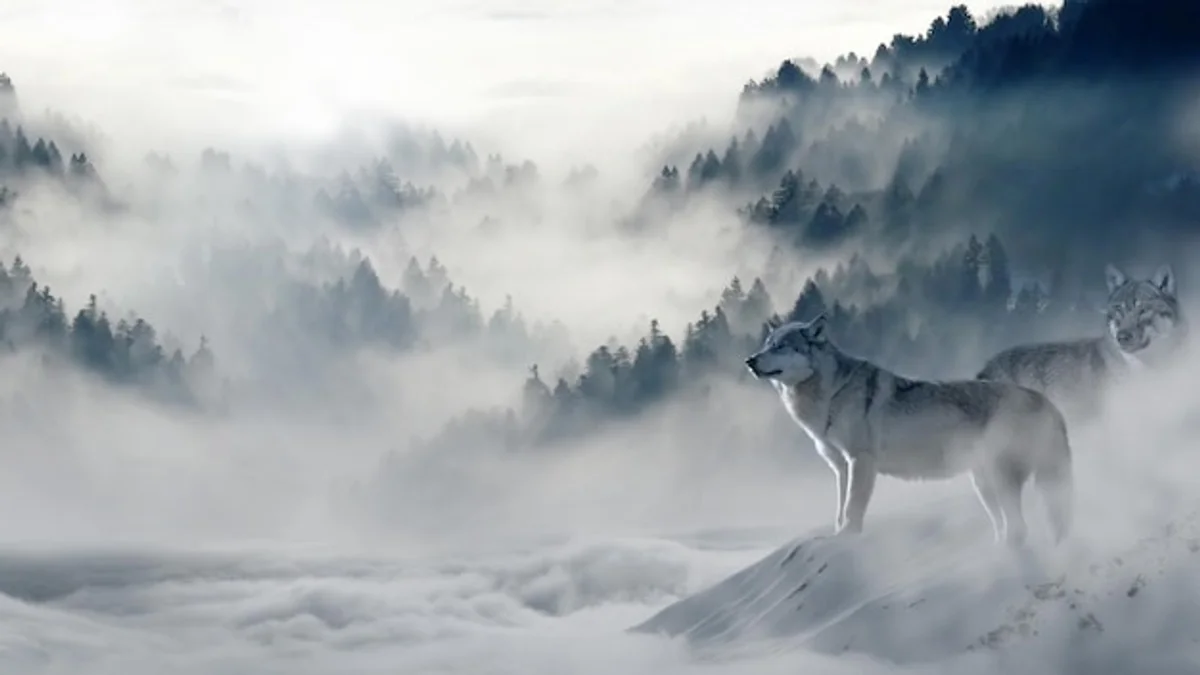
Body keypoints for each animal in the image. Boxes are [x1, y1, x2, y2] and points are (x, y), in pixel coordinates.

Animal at [745, 314, 1073, 546]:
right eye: (766, 344)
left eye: (781, 346)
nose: (749, 361)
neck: (830, 394)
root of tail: (1046, 402)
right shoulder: (840, 467)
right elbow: (839, 510)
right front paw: (836, 536)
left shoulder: (861, 461)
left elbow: (852, 509)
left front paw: (847, 539)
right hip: (984, 485)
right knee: (1010, 527)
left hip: (1000, 479)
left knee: (1020, 529)